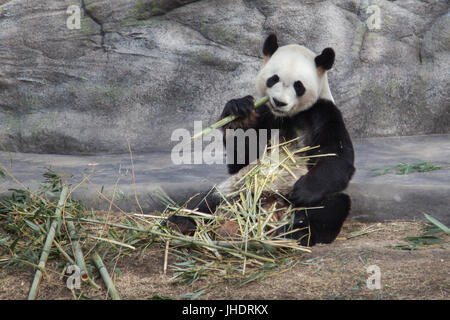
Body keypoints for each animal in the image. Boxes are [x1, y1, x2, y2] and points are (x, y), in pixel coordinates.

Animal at [169, 33, 356, 246]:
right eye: (273, 79)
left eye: (298, 85)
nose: (279, 102)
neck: (288, 116)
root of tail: (268, 208)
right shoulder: (265, 113)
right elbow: (241, 159)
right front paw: (239, 112)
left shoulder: (323, 113)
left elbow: (337, 158)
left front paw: (302, 191)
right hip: (235, 190)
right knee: (207, 202)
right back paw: (181, 222)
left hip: (305, 203)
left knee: (331, 207)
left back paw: (293, 232)